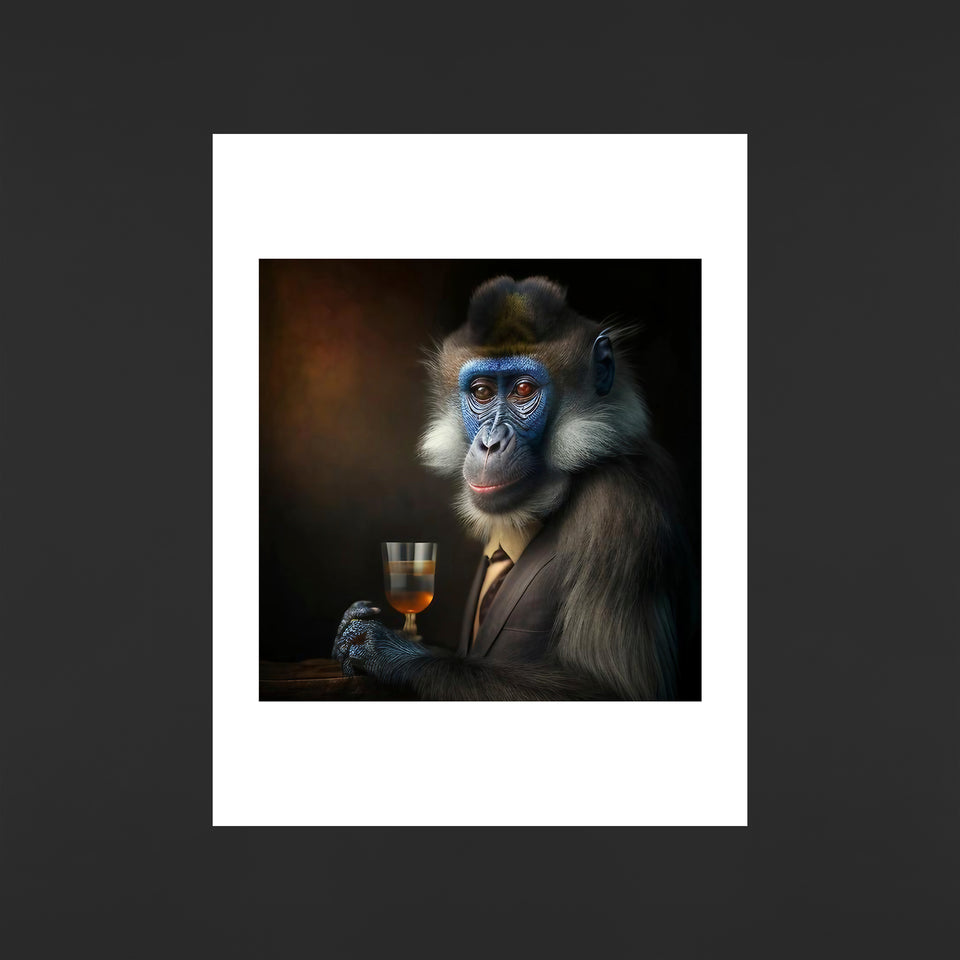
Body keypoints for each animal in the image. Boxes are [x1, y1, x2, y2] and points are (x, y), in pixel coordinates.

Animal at [332, 276, 691, 700]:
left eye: (523, 390)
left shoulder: (620, 509)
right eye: (482, 393)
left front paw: (389, 650)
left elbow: (613, 689)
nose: (490, 444)